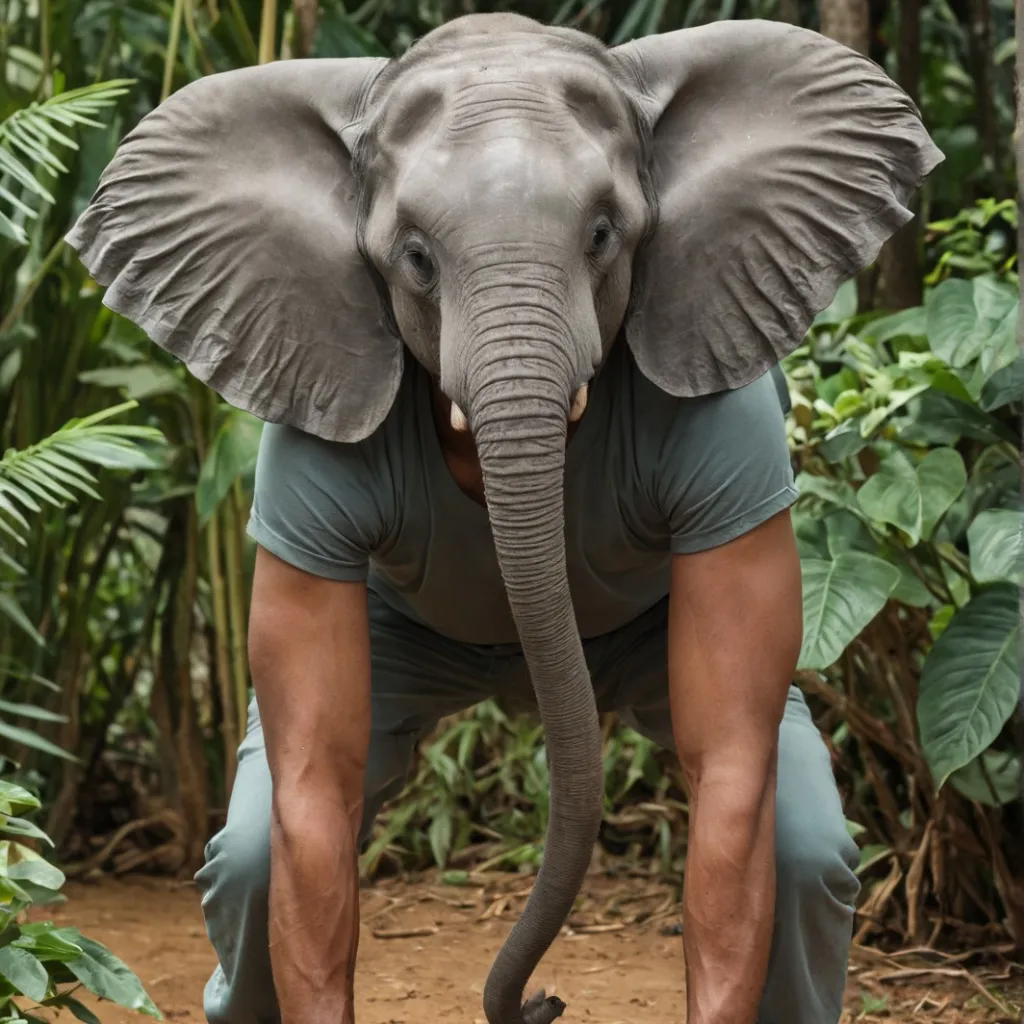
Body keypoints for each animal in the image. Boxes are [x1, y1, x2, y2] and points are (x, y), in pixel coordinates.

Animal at [66, 13, 942, 1024]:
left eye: (602, 235)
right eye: (415, 258)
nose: (544, 1001)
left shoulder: (735, 436)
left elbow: (730, 757)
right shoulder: (303, 454)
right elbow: (314, 781)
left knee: (802, 857)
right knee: (250, 866)